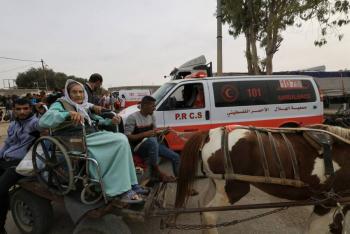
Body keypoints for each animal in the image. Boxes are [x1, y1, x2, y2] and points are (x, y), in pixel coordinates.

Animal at [175, 125, 350, 233]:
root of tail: (210, 133)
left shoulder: (336, 203)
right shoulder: (328, 202)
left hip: (216, 184)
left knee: (203, 207)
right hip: (234, 189)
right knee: (209, 215)